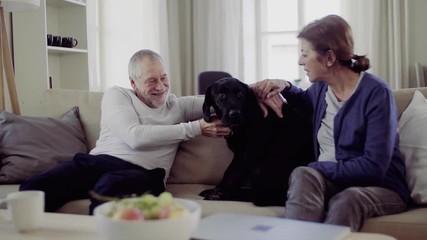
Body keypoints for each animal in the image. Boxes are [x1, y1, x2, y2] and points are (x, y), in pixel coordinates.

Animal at [200, 77, 314, 206]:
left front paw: (221, 192)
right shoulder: (239, 154)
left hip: (260, 166)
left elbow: (233, 173)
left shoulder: (248, 152)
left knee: (262, 198)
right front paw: (216, 189)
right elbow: (229, 171)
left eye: (240, 94)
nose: (235, 114)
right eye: (221, 95)